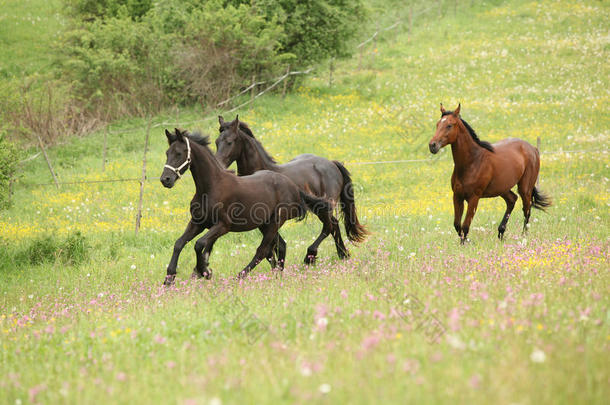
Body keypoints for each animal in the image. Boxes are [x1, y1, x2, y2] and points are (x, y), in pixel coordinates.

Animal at [159, 127, 330, 284]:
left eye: (179, 153)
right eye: (167, 153)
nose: (165, 179)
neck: (211, 187)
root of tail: (294, 186)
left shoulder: (223, 225)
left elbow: (199, 244)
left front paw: (205, 271)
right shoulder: (197, 223)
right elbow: (179, 243)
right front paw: (169, 278)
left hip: (275, 222)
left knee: (263, 251)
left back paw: (239, 276)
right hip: (265, 224)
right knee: (280, 246)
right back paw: (278, 276)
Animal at [214, 115, 366, 264]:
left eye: (229, 142)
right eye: (216, 142)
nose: (218, 164)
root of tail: (332, 164)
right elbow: (272, 248)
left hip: (323, 207)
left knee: (329, 227)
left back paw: (310, 256)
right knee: (334, 225)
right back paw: (343, 255)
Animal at [426, 104, 548, 243]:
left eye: (449, 125)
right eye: (437, 124)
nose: (432, 145)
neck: (472, 161)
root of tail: (533, 149)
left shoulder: (474, 198)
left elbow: (465, 226)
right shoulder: (457, 196)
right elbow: (457, 225)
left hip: (525, 188)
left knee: (527, 210)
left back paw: (523, 237)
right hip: (502, 188)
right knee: (512, 200)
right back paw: (501, 233)